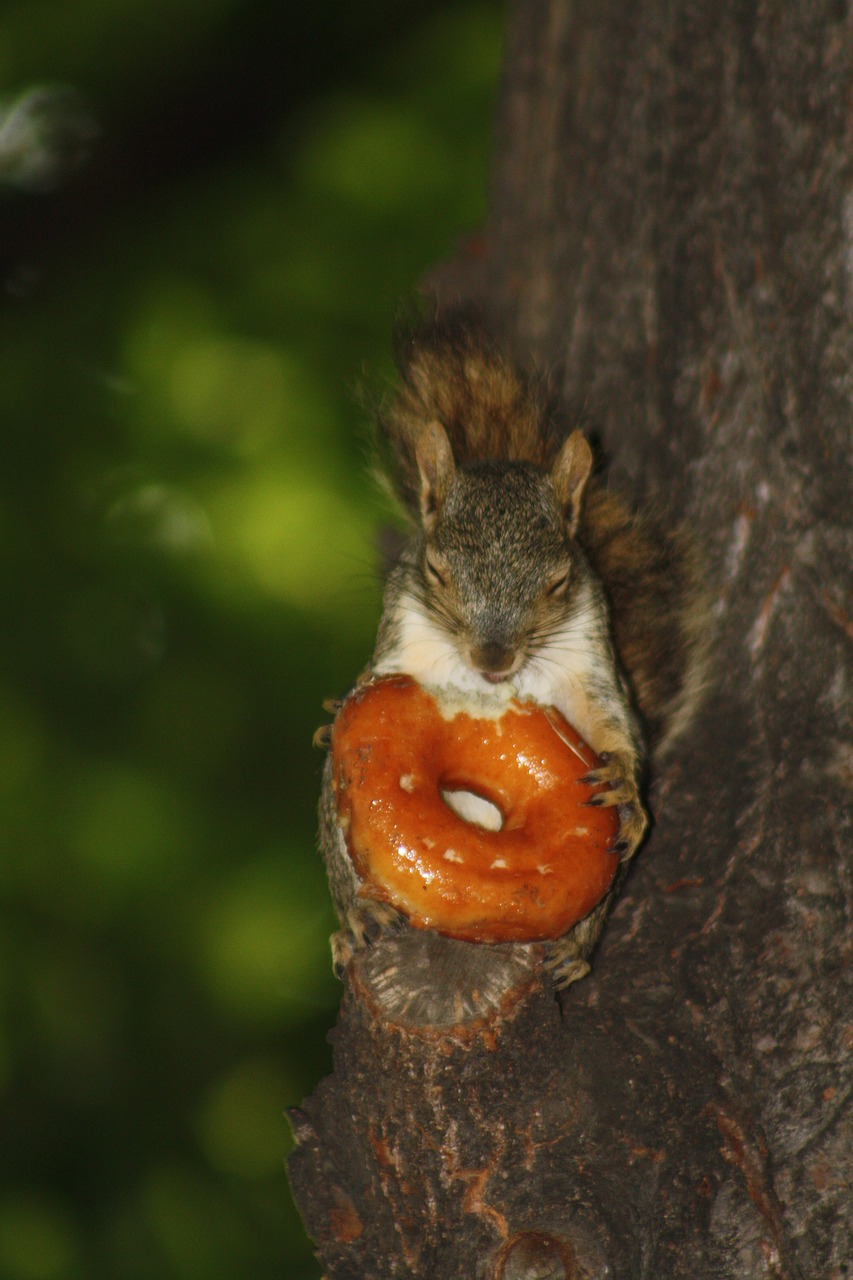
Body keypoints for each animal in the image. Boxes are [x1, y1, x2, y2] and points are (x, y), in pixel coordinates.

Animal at [312, 312, 701, 988]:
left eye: (558, 582)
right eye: (436, 572)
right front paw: (335, 710)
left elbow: (614, 726)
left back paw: (572, 949)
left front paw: (625, 782)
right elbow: (361, 696)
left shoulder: (590, 666)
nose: (492, 660)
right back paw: (358, 919)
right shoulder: (395, 652)